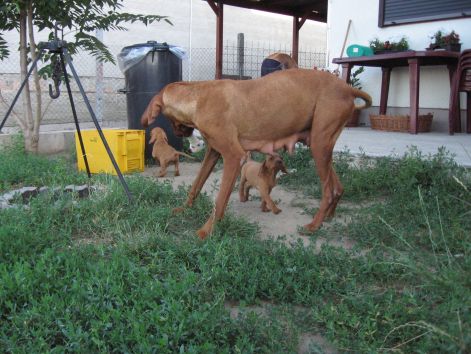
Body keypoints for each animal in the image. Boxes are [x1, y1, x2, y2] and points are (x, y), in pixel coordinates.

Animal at [140, 68, 372, 239]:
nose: (181, 133)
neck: (198, 96)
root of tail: (347, 88)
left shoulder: (234, 156)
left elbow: (219, 201)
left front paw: (207, 231)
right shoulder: (213, 152)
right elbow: (196, 185)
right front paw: (184, 209)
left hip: (319, 144)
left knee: (328, 190)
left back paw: (315, 224)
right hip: (323, 145)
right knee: (337, 187)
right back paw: (329, 217)